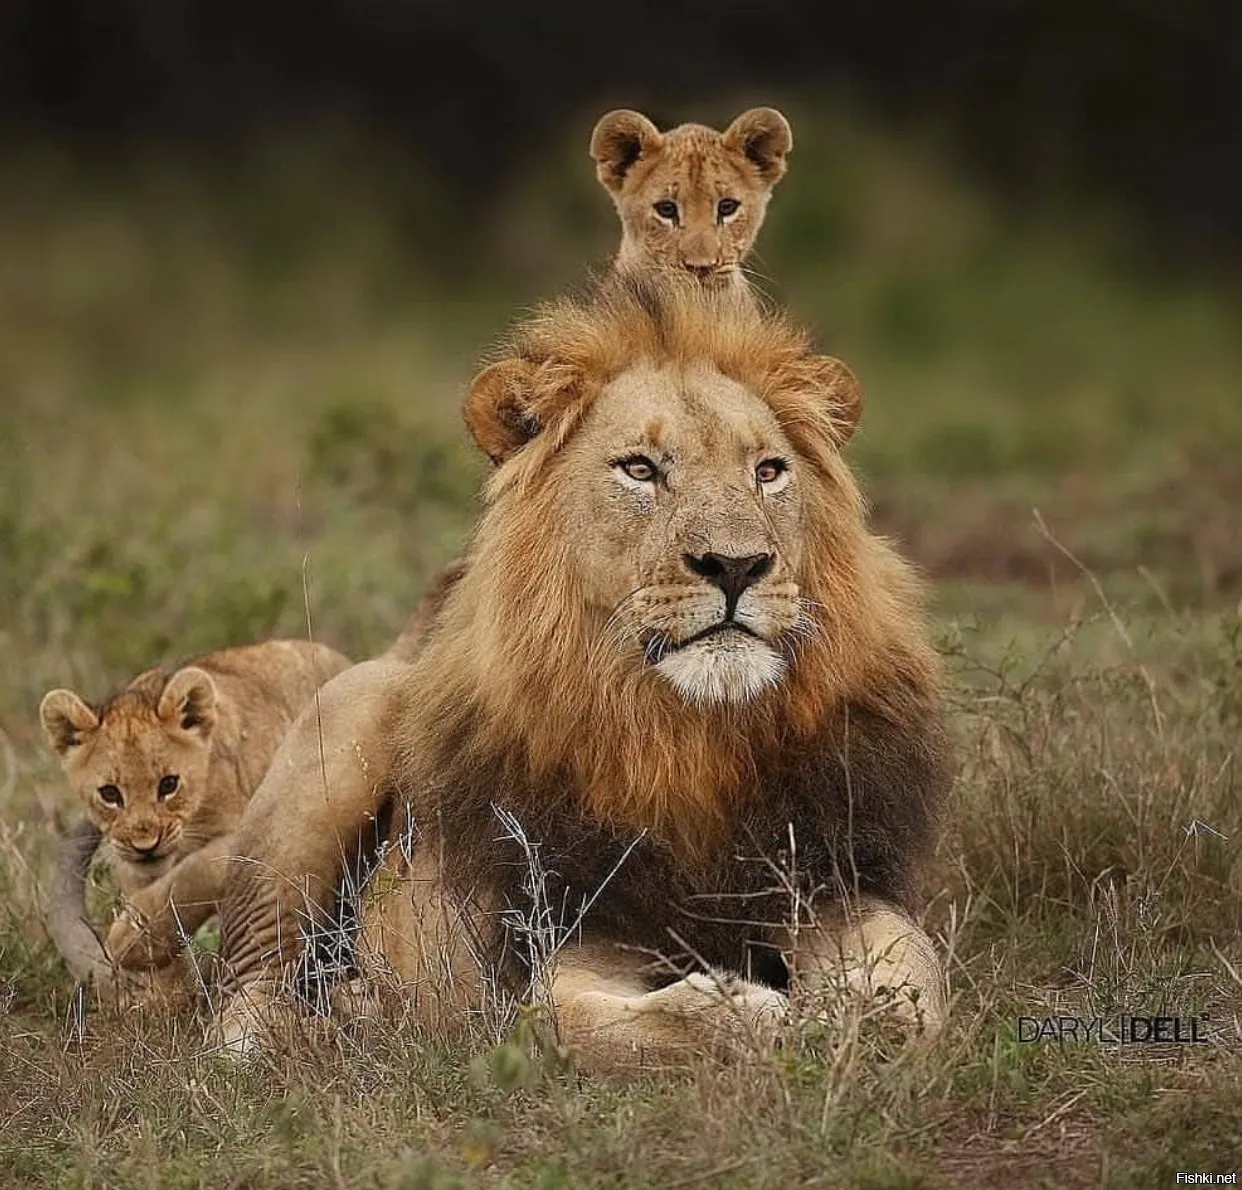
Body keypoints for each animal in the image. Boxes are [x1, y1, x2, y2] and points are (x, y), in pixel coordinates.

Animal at [218, 277, 948, 1063]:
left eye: (768, 471)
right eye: (640, 469)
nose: (737, 565)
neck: (693, 737)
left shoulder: (836, 884)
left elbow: (910, 997)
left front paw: (850, 1018)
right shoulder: (566, 939)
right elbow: (609, 1023)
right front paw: (772, 1015)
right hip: (342, 736)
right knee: (242, 999)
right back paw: (325, 1026)